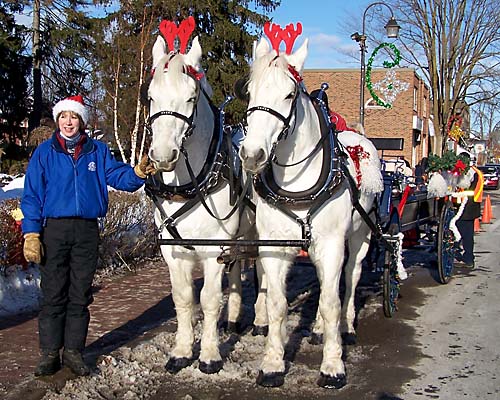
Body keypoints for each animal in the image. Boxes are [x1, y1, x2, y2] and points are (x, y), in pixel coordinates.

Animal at [144, 34, 264, 376]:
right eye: (150, 97)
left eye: (190, 98)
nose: (162, 156)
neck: (191, 184)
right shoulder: (173, 252)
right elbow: (184, 299)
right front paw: (182, 352)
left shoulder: (213, 250)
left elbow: (210, 299)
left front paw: (209, 355)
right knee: (236, 271)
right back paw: (234, 320)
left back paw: (261, 321)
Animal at [238, 36, 382, 388]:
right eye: (250, 91)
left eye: (289, 94)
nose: (252, 154)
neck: (298, 183)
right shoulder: (274, 247)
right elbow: (277, 304)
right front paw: (272, 363)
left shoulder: (330, 245)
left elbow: (331, 303)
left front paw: (333, 366)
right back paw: (317, 329)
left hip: (360, 234)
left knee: (349, 278)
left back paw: (346, 326)